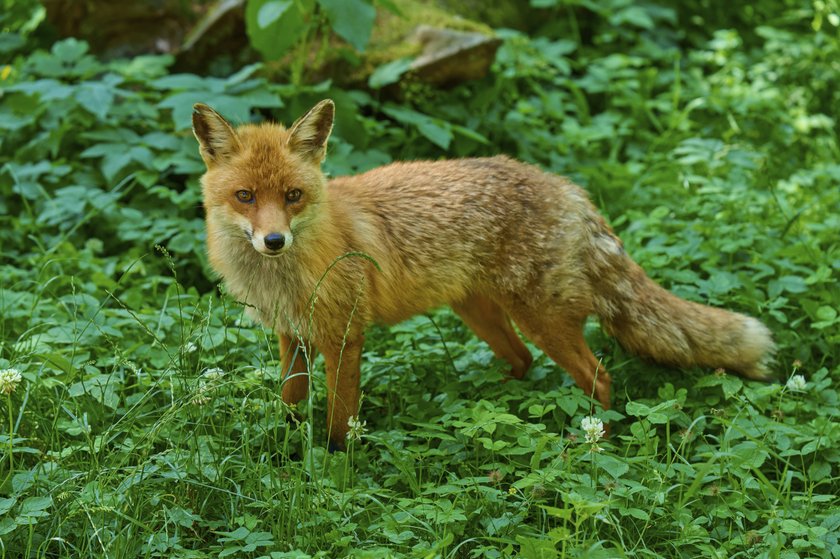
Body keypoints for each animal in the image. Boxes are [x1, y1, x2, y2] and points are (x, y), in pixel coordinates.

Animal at [192, 99, 775, 450]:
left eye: (293, 195)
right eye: (245, 196)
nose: (273, 241)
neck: (288, 273)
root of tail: (568, 189)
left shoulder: (344, 337)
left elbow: (340, 422)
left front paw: (337, 467)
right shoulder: (291, 334)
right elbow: (291, 404)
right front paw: (284, 450)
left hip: (543, 320)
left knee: (600, 378)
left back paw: (592, 444)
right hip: (479, 313)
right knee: (522, 361)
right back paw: (492, 403)